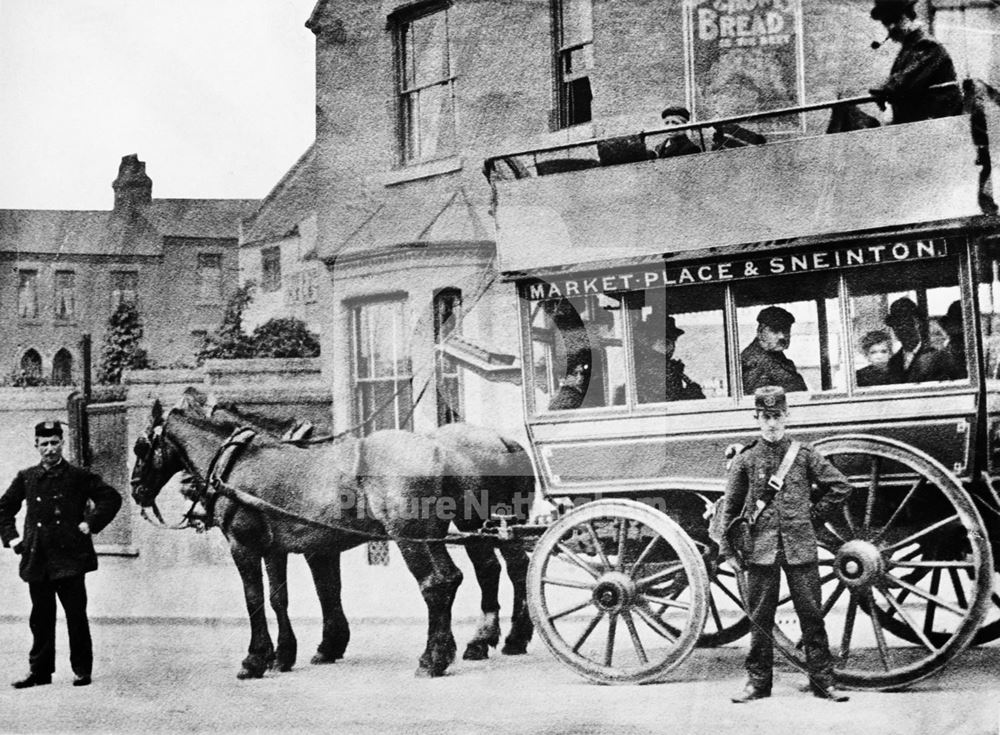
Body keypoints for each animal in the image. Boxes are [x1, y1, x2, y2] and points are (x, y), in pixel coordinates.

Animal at [128, 394, 464, 680]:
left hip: (409, 537)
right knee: (450, 578)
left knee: (433, 584)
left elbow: (254, 598)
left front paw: (254, 659)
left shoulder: (244, 546)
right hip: (431, 536)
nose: (135, 490)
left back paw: (431, 660)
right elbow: (281, 598)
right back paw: (445, 653)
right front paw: (283, 655)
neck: (236, 463)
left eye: (140, 447)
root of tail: (438, 451)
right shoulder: (275, 548)